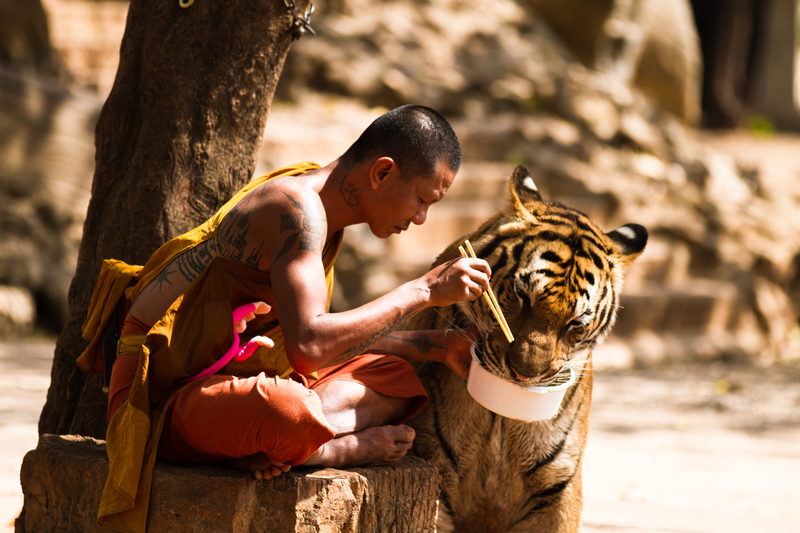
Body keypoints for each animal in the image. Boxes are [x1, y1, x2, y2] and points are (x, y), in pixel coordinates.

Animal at [410, 164, 648, 528]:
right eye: (522, 295)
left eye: (575, 324)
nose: (524, 375)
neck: (500, 419)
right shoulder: (434, 468)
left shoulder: (558, 488)